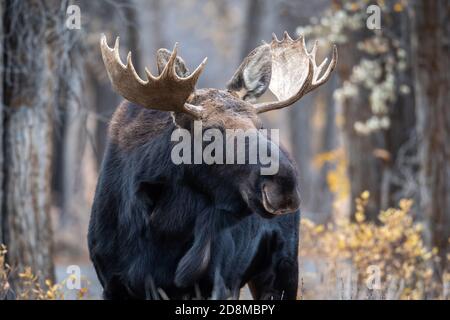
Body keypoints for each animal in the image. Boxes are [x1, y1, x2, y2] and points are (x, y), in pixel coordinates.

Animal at [88, 31, 336, 300]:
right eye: (209, 131)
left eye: (260, 126)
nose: (284, 185)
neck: (163, 227)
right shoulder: (112, 282)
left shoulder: (218, 281)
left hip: (282, 267)